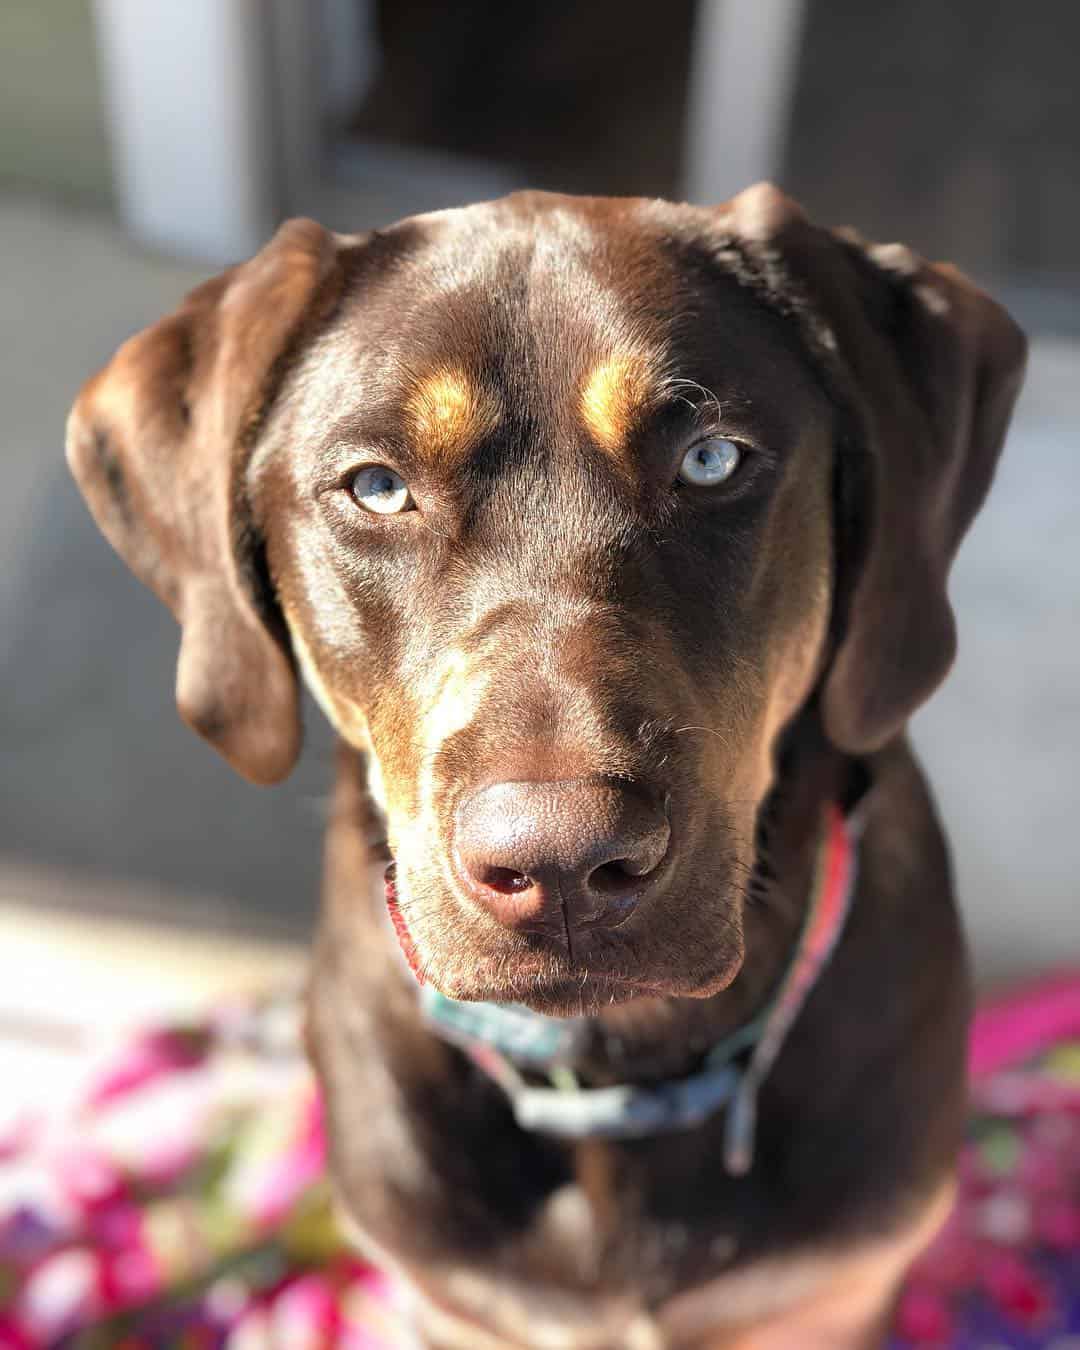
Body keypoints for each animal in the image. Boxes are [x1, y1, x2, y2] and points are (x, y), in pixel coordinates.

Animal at [69, 184, 1031, 1344]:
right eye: (377, 488)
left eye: (712, 460)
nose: (561, 864)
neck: (613, 1069)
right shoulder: (449, 1303)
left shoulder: (834, 1298)